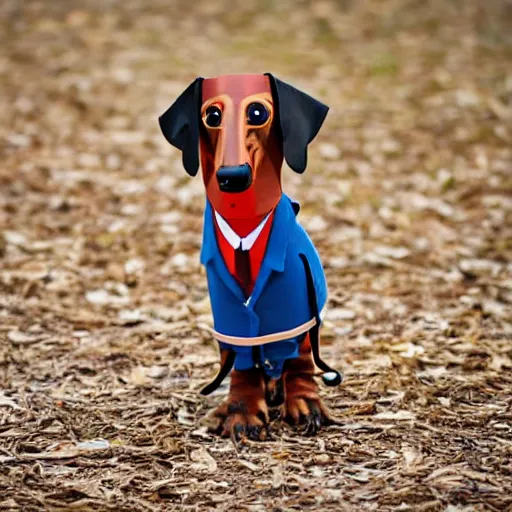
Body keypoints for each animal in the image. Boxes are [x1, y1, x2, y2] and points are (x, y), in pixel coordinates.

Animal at [159, 73, 344, 440]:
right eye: (211, 115)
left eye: (258, 112)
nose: (233, 177)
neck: (244, 227)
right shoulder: (229, 313)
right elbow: (242, 365)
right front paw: (241, 410)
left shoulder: (296, 306)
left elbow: (299, 359)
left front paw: (305, 402)